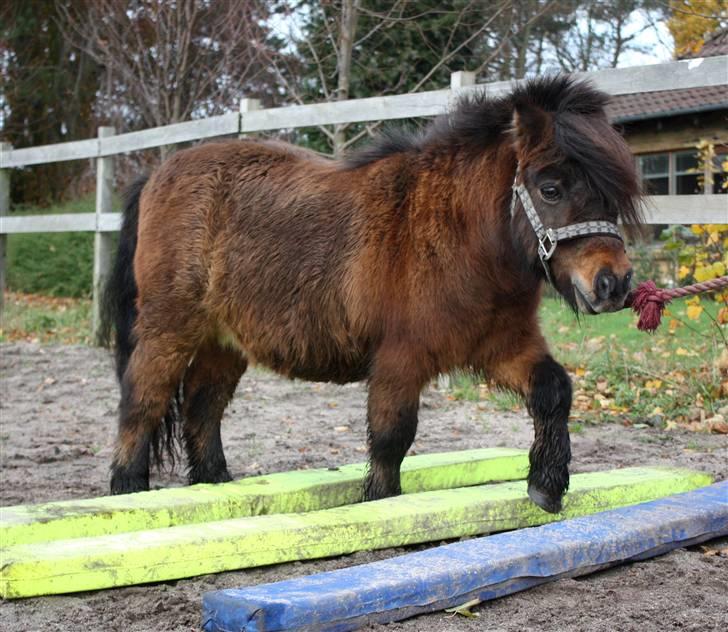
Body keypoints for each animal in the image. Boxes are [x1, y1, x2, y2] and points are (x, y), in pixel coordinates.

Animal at [104, 76, 644, 512]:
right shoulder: (400, 359)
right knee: (142, 401)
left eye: (613, 193)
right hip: (169, 329)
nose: (613, 283)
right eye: (551, 188)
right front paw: (381, 506)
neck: (459, 236)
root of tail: (156, 173)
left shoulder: (502, 346)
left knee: (203, 406)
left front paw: (546, 485)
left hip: (226, 341)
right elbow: (391, 438)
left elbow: (554, 390)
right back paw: (126, 492)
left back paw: (214, 485)